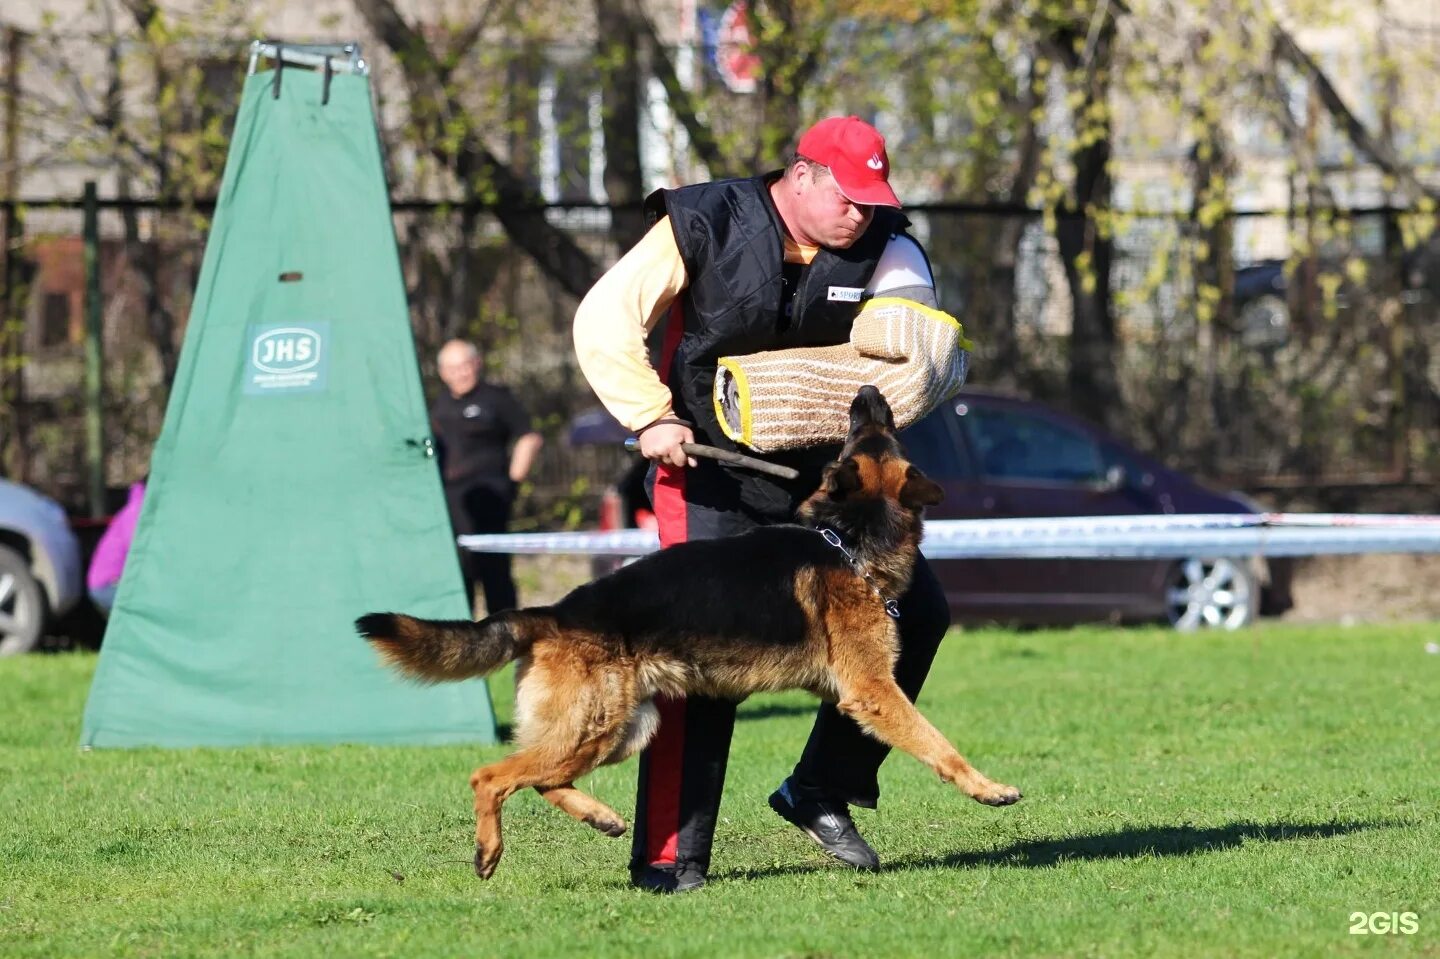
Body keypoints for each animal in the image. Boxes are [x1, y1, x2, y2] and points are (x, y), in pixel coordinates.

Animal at [354, 385, 1019, 875]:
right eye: (874, 433)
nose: (867, 392)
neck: (847, 538)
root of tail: (556, 612)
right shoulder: (873, 692)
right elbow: (936, 743)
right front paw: (988, 788)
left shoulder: (854, 691)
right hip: (595, 724)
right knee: (490, 776)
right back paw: (489, 851)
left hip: (622, 730)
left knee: (543, 779)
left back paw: (600, 816)